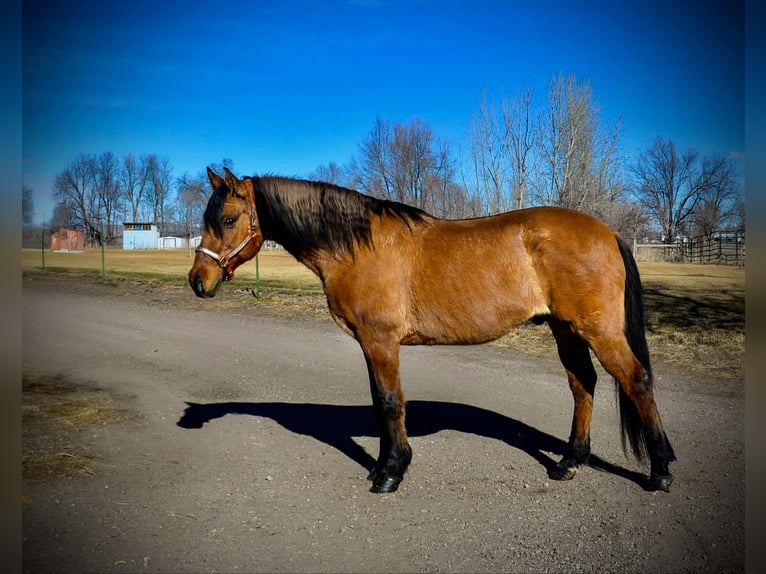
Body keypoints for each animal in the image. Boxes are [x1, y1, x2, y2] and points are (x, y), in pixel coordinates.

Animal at [188, 166, 680, 496]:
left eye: (228, 219)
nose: (197, 280)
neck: (357, 246)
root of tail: (609, 233)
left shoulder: (380, 340)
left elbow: (390, 402)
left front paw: (390, 473)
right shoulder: (373, 345)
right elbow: (381, 402)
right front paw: (386, 465)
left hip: (598, 330)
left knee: (635, 381)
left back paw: (659, 472)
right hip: (565, 329)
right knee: (584, 385)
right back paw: (569, 462)